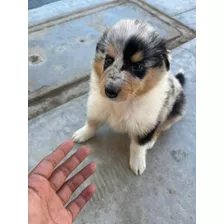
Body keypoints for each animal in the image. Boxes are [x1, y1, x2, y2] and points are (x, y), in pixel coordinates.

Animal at [72, 19, 186, 175]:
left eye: (137, 66)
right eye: (108, 60)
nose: (110, 91)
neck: (123, 102)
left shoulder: (147, 121)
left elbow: (138, 145)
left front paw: (137, 164)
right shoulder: (97, 105)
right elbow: (92, 122)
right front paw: (82, 134)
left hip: (175, 110)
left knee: (161, 128)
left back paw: (151, 142)